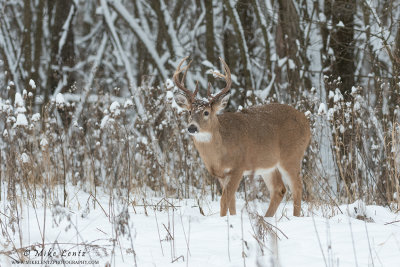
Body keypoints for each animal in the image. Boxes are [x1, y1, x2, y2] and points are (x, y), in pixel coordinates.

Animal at [173, 57, 310, 218]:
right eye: (189, 112)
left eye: (206, 112)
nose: (192, 127)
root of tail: (306, 122)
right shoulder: (221, 175)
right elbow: (231, 201)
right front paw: (232, 218)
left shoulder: (238, 167)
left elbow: (224, 200)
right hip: (269, 166)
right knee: (279, 189)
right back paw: (267, 218)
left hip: (291, 156)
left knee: (297, 187)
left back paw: (295, 217)